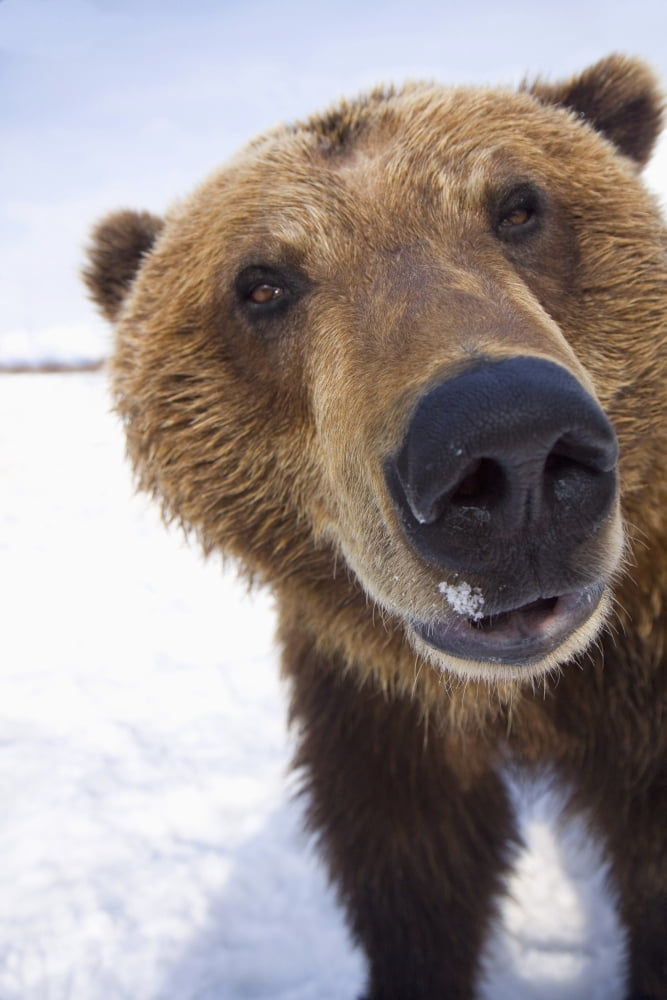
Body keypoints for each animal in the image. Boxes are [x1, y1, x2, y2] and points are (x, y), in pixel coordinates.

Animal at [84, 54, 667, 999]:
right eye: (261, 282)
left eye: (518, 206)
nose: (507, 445)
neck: (529, 695)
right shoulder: (373, 699)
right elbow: (412, 875)